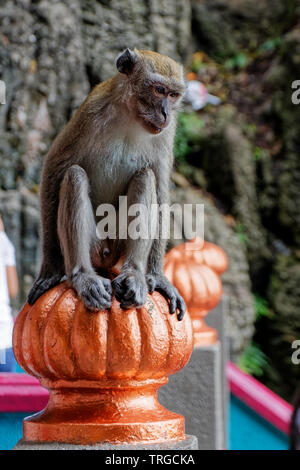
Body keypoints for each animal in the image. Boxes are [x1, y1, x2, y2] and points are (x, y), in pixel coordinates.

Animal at [28, 48, 188, 320]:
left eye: (174, 95)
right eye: (159, 90)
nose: (166, 113)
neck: (130, 115)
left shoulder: (167, 133)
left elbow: (160, 189)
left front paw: (157, 277)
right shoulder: (90, 111)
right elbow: (54, 168)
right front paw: (50, 271)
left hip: (117, 246)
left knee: (146, 177)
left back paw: (133, 274)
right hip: (95, 246)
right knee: (74, 175)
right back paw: (83, 277)